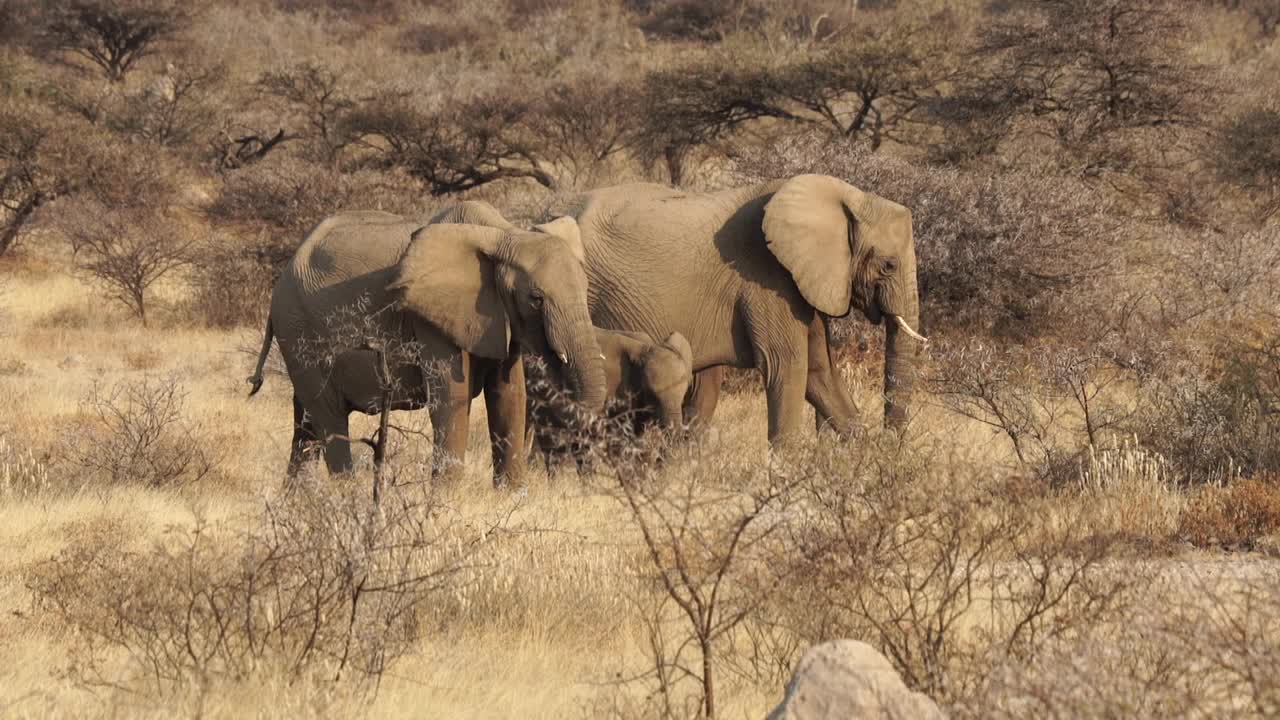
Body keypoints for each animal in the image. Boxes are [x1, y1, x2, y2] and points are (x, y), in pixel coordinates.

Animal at [253, 202, 609, 481]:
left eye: (586, 287)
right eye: (536, 299)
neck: (505, 234)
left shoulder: (499, 319)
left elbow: (509, 395)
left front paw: (512, 496)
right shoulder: (430, 317)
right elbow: (451, 396)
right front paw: (446, 501)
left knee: (306, 426)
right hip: (300, 334)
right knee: (329, 419)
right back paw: (346, 495)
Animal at [565, 174, 926, 443]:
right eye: (889, 265)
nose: (889, 441)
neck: (846, 198)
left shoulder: (796, 281)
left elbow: (819, 371)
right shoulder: (766, 278)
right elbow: (787, 366)